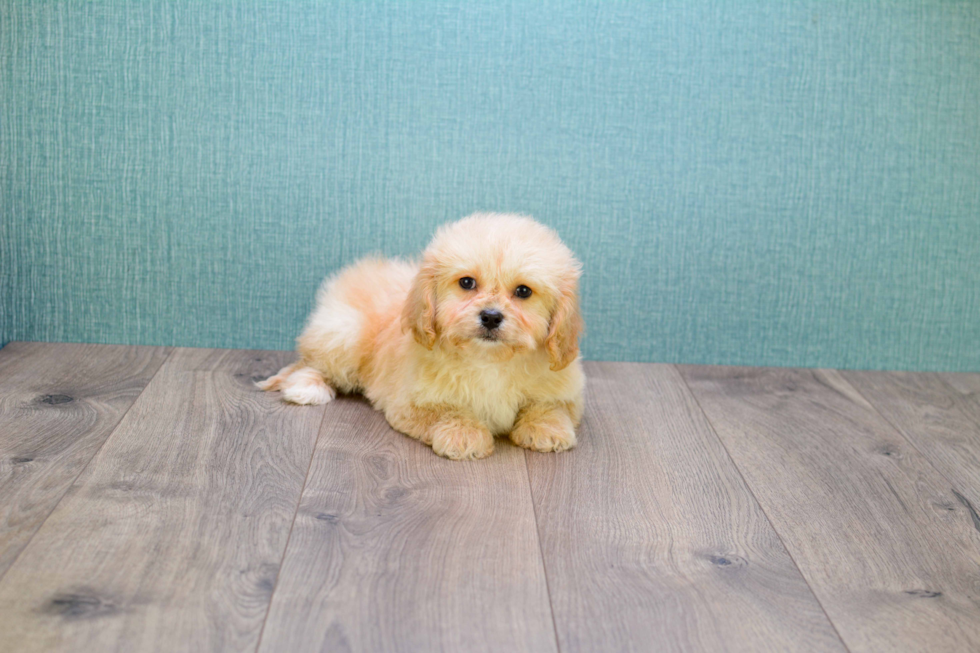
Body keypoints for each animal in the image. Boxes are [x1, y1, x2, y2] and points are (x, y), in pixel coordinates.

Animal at [256, 214, 584, 458]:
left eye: (523, 291)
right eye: (467, 283)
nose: (491, 317)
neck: (488, 360)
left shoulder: (563, 390)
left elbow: (550, 406)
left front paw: (547, 429)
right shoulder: (410, 403)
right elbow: (446, 411)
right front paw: (464, 434)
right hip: (344, 334)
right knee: (308, 363)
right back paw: (306, 387)